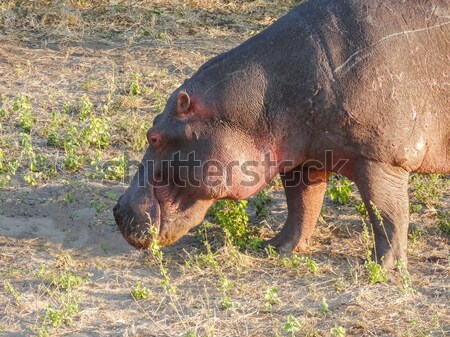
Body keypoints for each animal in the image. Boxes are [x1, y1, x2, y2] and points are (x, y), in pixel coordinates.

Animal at [113, 0, 450, 268]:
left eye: (153, 136)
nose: (117, 209)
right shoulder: (305, 159)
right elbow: (301, 207)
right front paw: (276, 248)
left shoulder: (379, 158)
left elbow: (387, 214)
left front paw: (383, 267)